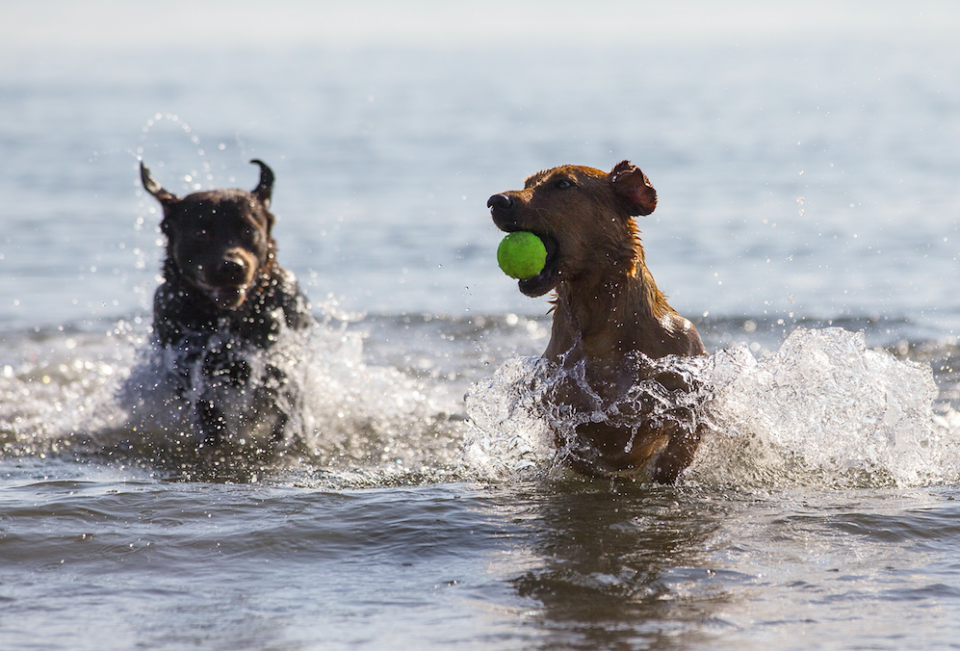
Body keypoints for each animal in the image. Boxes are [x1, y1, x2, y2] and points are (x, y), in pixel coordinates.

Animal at [141, 160, 314, 448]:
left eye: (248, 230)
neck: (231, 318)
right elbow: (206, 405)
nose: (232, 266)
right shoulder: (187, 361)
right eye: (200, 232)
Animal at [492, 160, 708, 482]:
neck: (599, 324)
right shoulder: (561, 407)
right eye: (528, 183)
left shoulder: (688, 391)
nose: (496, 201)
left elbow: (678, 446)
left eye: (563, 184)